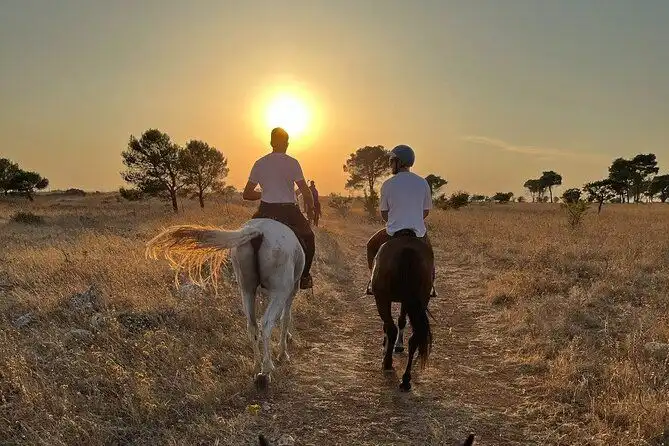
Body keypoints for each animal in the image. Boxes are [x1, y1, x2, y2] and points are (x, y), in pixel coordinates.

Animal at [145, 218, 305, 390]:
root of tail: (258, 232)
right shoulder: (291, 290)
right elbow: (285, 319)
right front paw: (283, 352)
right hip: (279, 291)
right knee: (266, 324)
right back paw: (266, 371)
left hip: (247, 290)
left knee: (252, 326)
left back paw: (257, 370)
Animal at [370, 229, 434, 392]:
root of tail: (407, 251)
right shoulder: (407, 301)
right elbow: (402, 320)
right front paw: (398, 345)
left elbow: (390, 324)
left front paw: (387, 346)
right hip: (420, 299)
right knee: (415, 338)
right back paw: (406, 379)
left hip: (382, 298)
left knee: (391, 328)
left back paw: (387, 363)